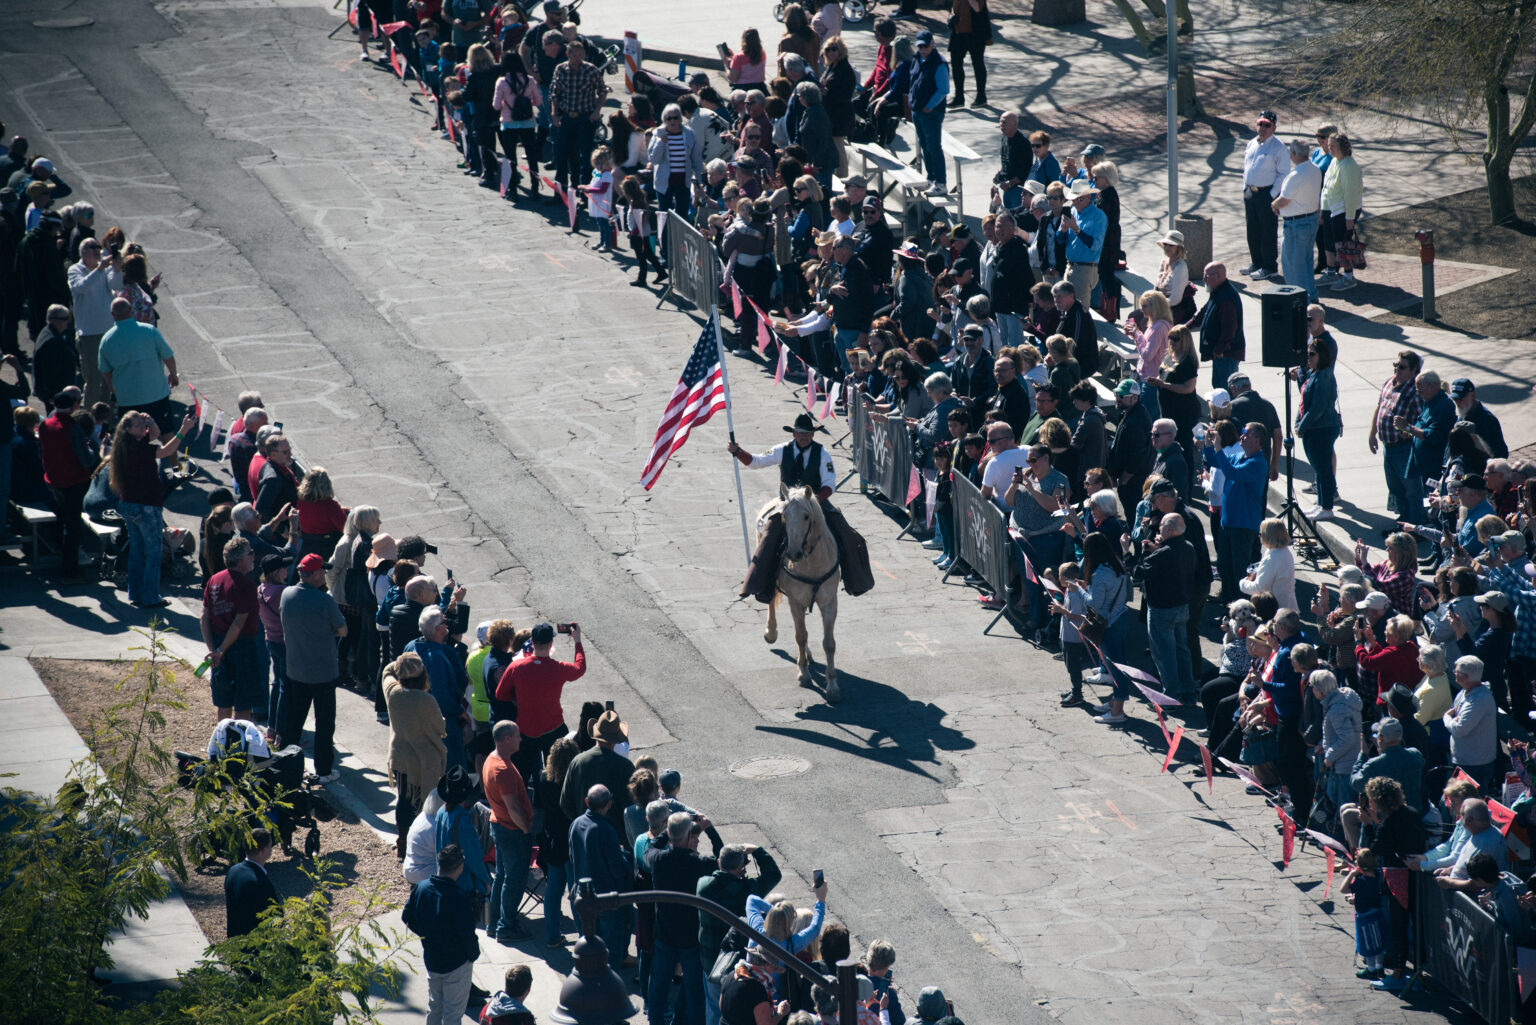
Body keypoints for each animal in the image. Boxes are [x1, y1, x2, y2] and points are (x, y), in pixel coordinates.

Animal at [755, 485, 841, 700]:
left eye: (806, 516)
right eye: (785, 516)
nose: (793, 553)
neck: (812, 563)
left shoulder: (829, 602)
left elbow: (829, 643)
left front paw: (833, 686)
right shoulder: (795, 601)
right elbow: (800, 636)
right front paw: (803, 674)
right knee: (771, 601)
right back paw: (771, 632)